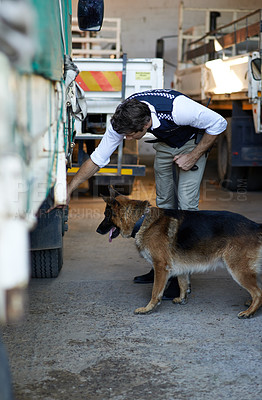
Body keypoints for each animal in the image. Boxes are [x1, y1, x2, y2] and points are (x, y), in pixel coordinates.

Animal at [96, 188, 262, 318]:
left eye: (106, 215)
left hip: (238, 270)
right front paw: (182, 299)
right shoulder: (182, 266)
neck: (142, 220)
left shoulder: (160, 266)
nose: (97, 230)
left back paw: (250, 311)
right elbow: (183, 283)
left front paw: (148, 308)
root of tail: (255, 225)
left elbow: (155, 291)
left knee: (258, 293)